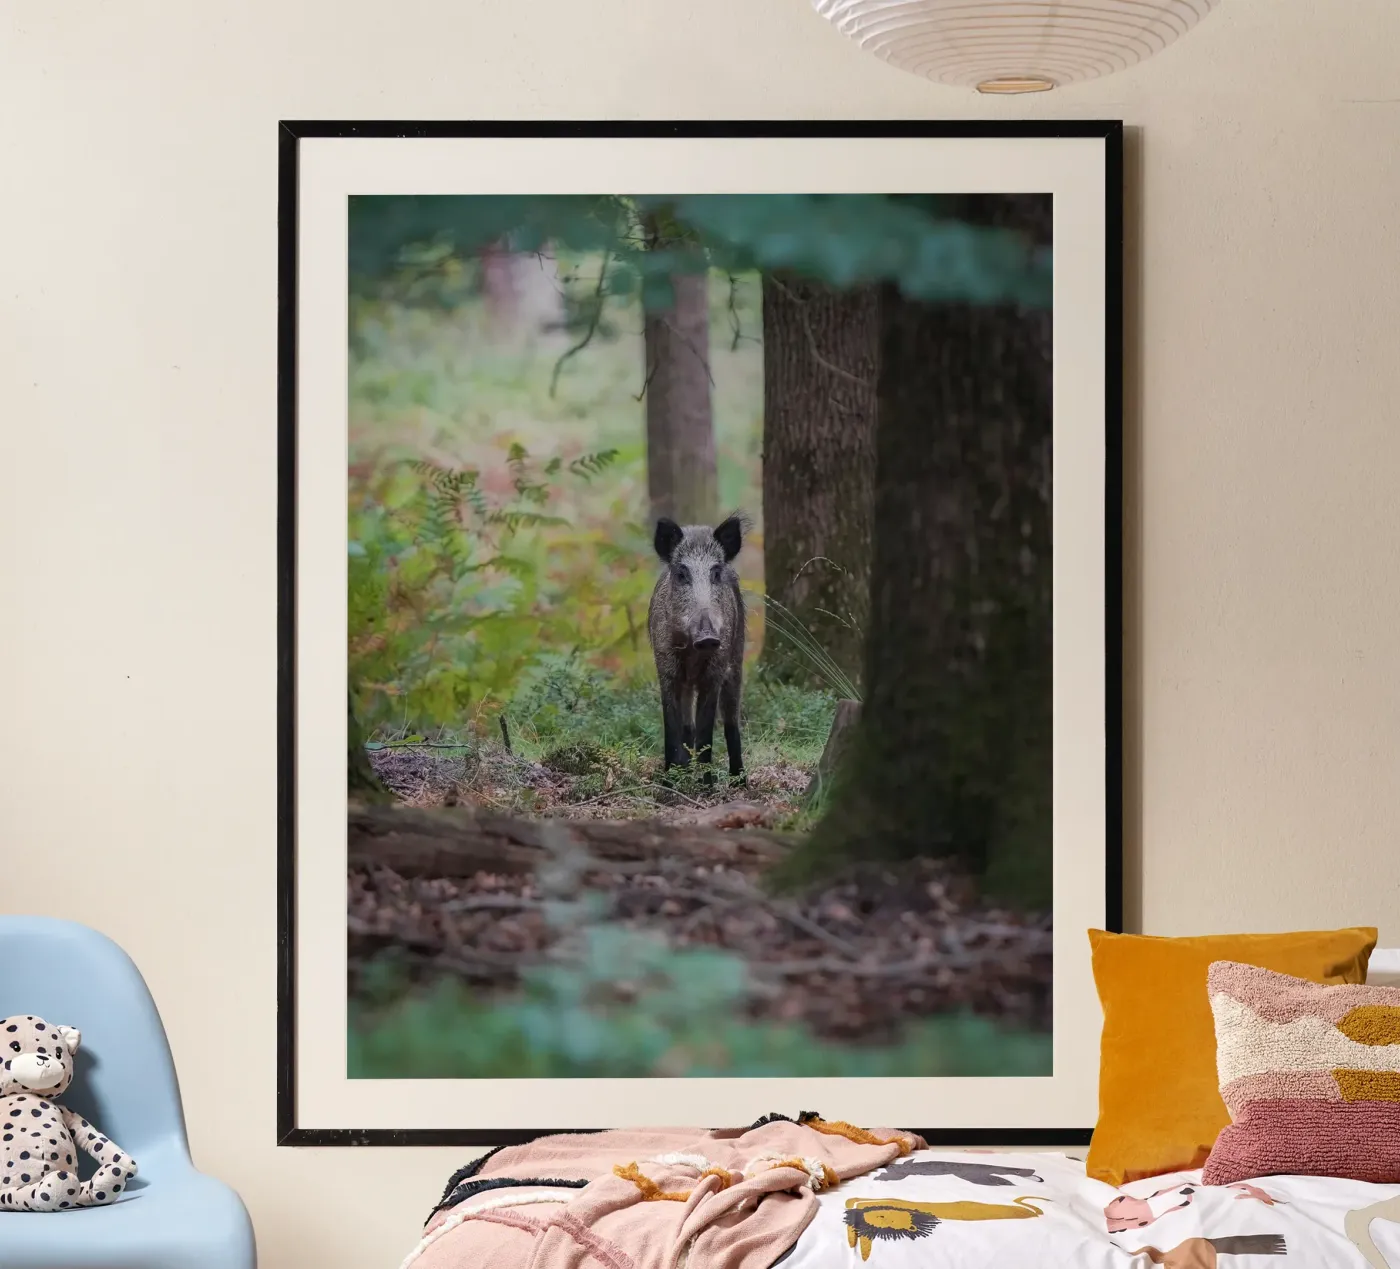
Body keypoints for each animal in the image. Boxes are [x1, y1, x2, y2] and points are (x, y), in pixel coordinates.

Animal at [647, 514, 745, 781]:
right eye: (682, 574)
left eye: (716, 573)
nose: (707, 637)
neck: (692, 653)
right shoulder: (665, 667)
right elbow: (672, 725)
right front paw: (669, 782)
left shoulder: (716, 671)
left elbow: (706, 730)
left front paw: (706, 785)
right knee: (686, 725)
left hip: (737, 658)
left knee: (731, 720)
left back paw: (739, 782)